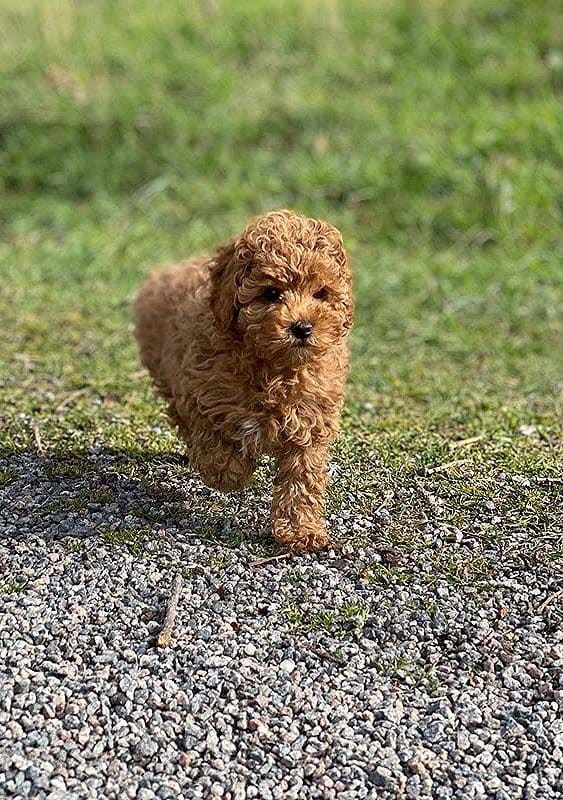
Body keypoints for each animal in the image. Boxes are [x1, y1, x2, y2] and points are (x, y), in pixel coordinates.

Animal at [134, 209, 352, 552]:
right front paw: (230, 472)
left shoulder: (310, 422)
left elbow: (301, 480)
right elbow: (215, 444)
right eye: (271, 293)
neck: (275, 367)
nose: (303, 328)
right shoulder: (202, 394)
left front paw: (300, 531)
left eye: (321, 294)